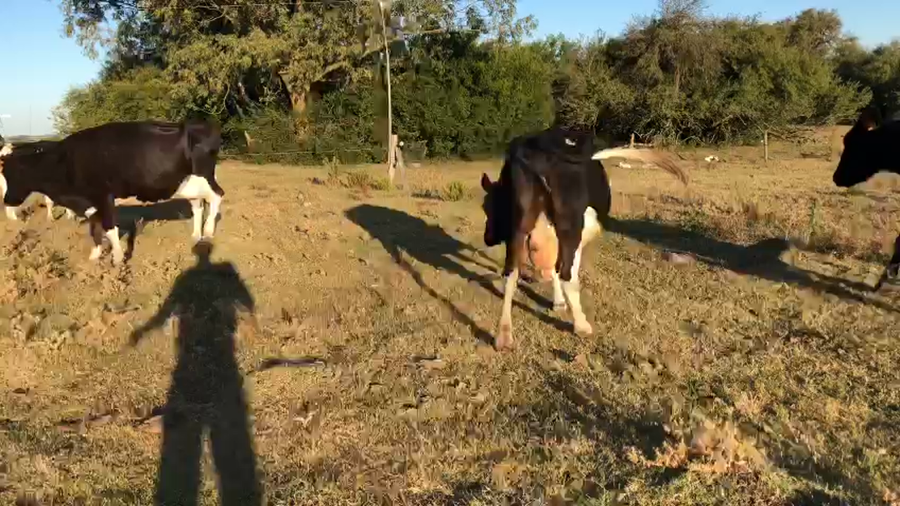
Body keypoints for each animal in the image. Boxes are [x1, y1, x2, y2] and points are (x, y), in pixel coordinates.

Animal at [1, 119, 224, 265]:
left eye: (12, 174)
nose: (6, 200)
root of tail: (202, 125)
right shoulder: (91, 202)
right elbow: (95, 229)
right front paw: (96, 254)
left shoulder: (104, 196)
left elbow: (109, 228)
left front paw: (117, 258)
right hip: (188, 183)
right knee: (197, 204)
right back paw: (196, 235)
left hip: (203, 175)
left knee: (217, 195)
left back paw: (208, 232)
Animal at [479, 126, 688, 350]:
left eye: (488, 206)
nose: (487, 238)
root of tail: (536, 144)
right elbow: (563, 270)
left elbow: (551, 268)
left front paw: (558, 303)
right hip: (571, 224)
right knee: (566, 274)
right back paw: (582, 326)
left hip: (521, 224)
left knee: (511, 273)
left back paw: (503, 336)